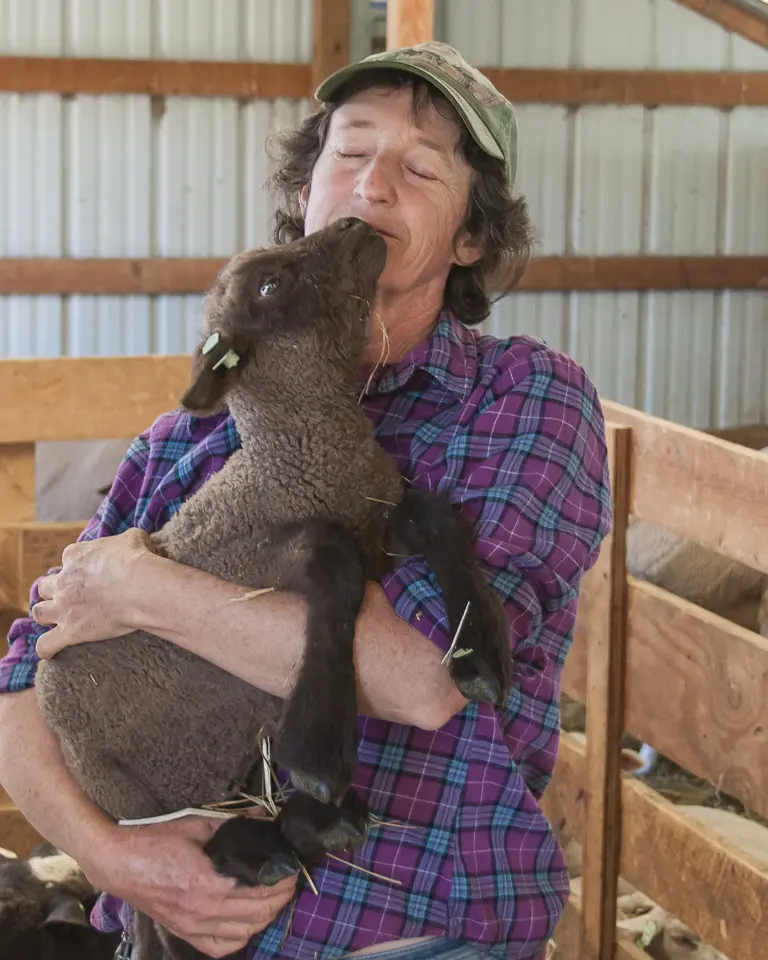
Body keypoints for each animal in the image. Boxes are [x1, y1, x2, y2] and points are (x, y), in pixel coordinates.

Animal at [37, 218, 516, 960]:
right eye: (268, 283)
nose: (355, 223)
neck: (296, 461)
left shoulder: (382, 523)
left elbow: (438, 517)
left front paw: (479, 660)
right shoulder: (251, 561)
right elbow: (336, 567)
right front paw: (315, 750)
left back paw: (310, 830)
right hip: (123, 792)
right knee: (168, 881)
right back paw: (271, 845)